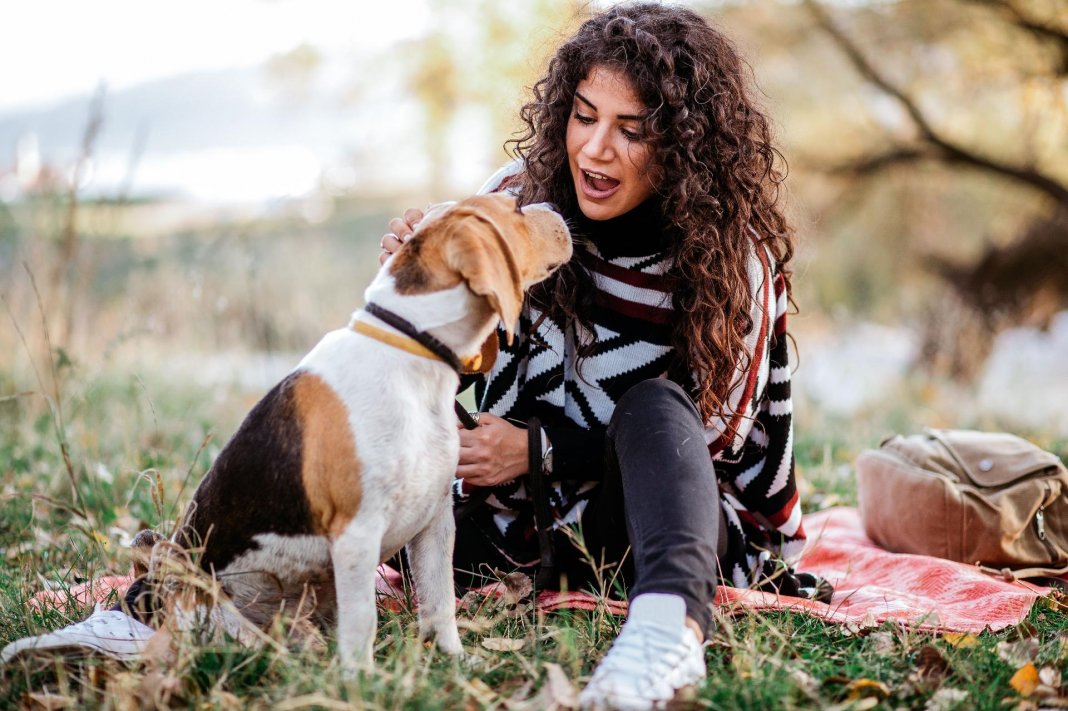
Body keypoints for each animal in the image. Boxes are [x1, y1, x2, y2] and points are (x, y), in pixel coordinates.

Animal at [124, 195, 572, 670]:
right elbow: (364, 622)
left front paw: (453, 661)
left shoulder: (435, 520)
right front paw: (364, 678)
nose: (556, 209)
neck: (413, 353)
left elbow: (440, 600)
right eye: (517, 207)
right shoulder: (358, 535)